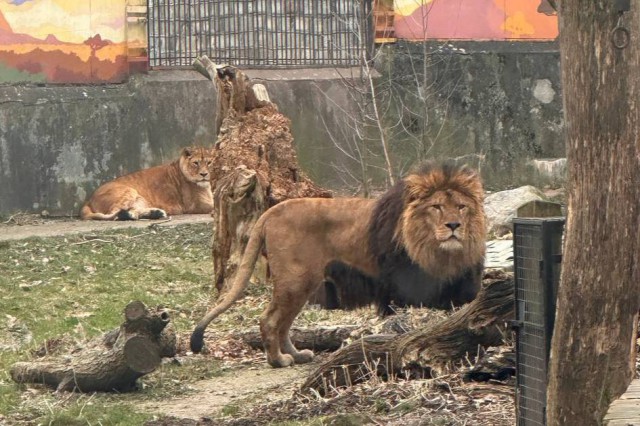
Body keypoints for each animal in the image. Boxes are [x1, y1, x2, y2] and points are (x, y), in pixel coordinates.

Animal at [79, 146, 215, 220]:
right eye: (196, 163)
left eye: (209, 163)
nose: (204, 174)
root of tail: (89, 199)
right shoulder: (195, 205)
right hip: (129, 191)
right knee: (115, 213)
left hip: (140, 200)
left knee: (131, 211)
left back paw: (156, 213)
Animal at [190, 161, 484, 368]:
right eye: (436, 207)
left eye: (461, 206)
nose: (454, 226)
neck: (436, 250)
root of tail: (271, 211)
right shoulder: (402, 285)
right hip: (296, 280)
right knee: (270, 320)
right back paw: (278, 361)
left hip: (304, 284)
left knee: (283, 323)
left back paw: (298, 355)